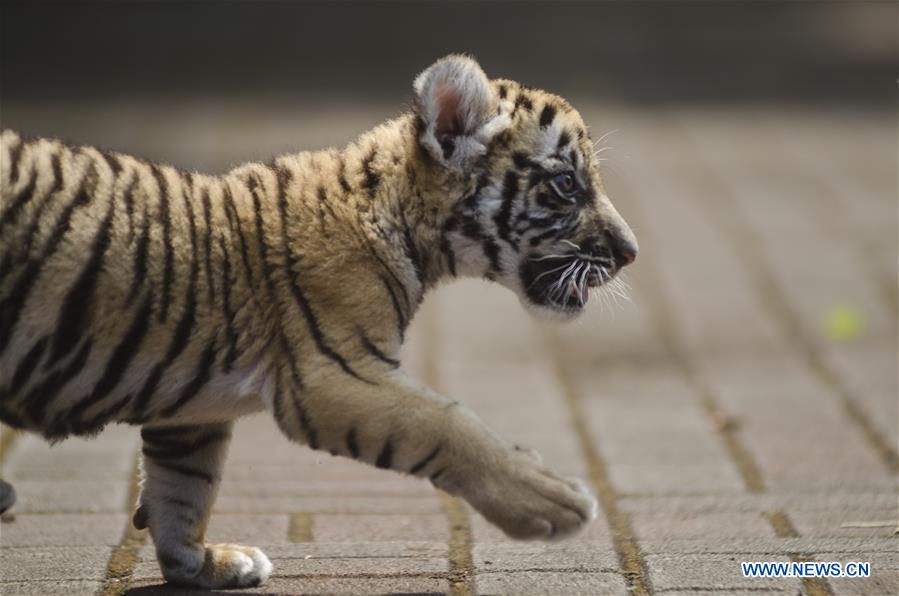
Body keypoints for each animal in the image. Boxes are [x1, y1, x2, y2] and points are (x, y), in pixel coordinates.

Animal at [0, 55, 638, 588]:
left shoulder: (192, 415)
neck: (405, 222)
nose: (630, 252)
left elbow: (183, 490)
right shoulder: (333, 376)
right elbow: (448, 424)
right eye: (567, 184)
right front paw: (554, 501)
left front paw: (205, 563)